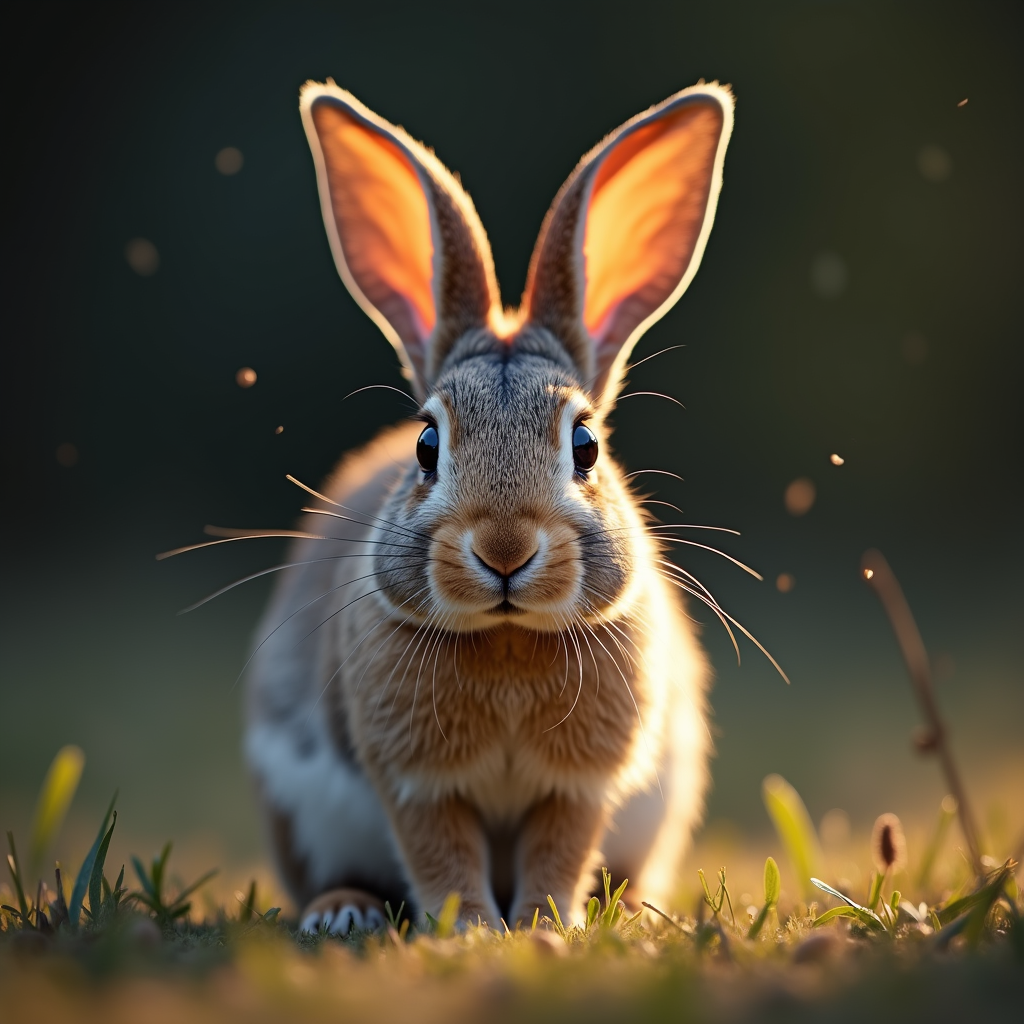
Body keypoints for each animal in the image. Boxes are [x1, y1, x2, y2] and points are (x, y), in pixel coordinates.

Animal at [244, 79, 735, 934]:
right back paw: (342, 914)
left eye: (586, 445)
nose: (504, 550)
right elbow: (441, 855)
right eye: (426, 444)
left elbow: (558, 852)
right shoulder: (415, 784)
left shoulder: (579, 790)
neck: (507, 638)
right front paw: (472, 927)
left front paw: (541, 925)